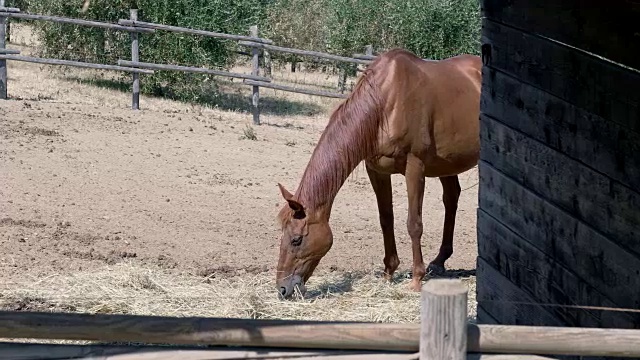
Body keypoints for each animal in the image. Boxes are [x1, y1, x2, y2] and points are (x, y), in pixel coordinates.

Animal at [276, 49, 480, 300]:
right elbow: (386, 219)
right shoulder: (376, 170)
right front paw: (388, 272)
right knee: (451, 198)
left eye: (296, 240)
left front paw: (416, 279)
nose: (282, 289)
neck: (385, 103)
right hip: (447, 163)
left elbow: (414, 224)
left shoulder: (415, 167)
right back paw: (439, 261)